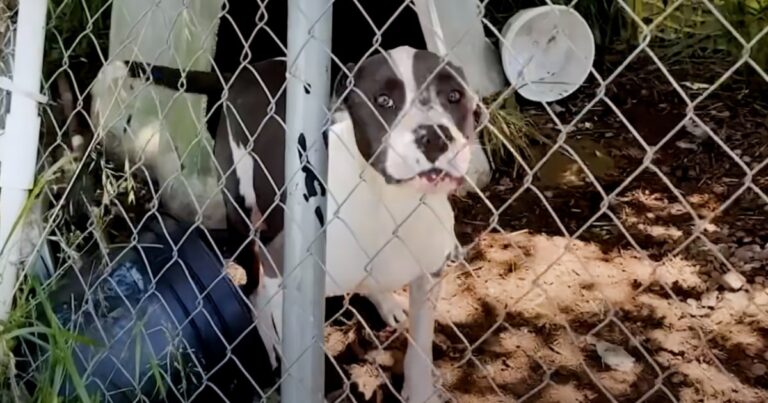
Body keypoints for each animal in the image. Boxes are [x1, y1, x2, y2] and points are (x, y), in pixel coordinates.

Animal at [93, 46, 484, 400]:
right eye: (383, 100)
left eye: (454, 95)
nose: (435, 136)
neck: (389, 204)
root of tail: (246, 69)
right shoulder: (282, 275)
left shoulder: (429, 277)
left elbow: (420, 352)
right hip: (241, 210)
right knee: (253, 290)